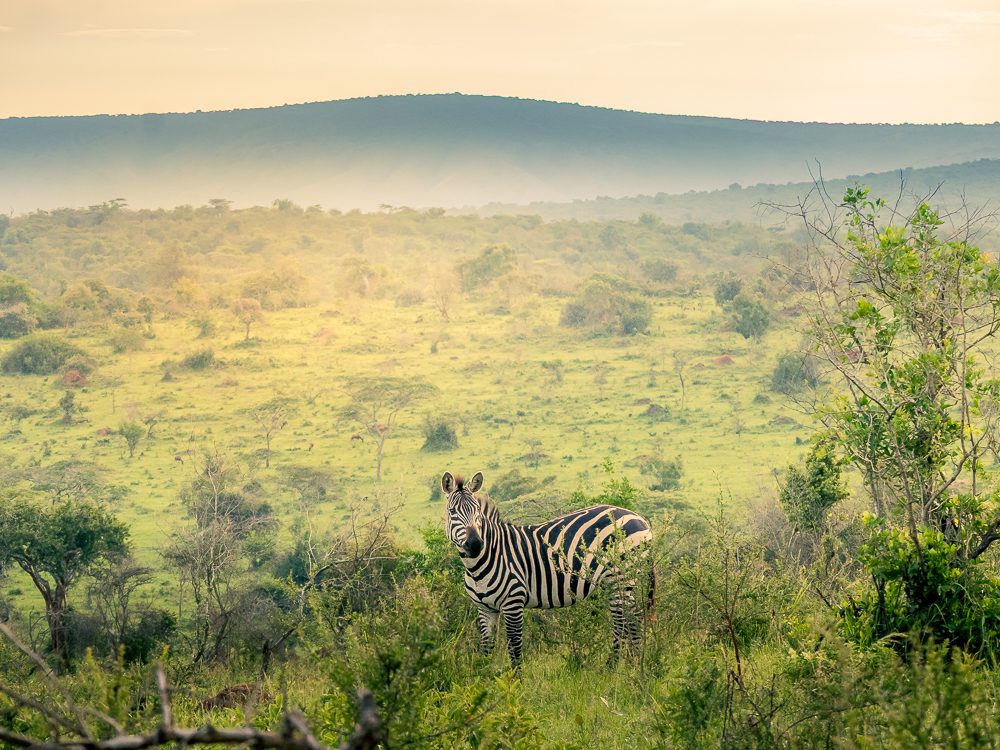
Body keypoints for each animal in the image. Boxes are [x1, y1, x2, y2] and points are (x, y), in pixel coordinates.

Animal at [442, 470, 654, 666]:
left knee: (624, 621)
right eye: (452, 511)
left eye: (477, 511)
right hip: (623, 580)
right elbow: (486, 648)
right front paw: (485, 676)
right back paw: (630, 664)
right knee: (632, 618)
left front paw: (516, 681)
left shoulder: (513, 602)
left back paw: (617, 667)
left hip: (620, 577)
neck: (479, 565)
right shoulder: (485, 609)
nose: (475, 545)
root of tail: (639, 518)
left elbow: (515, 648)